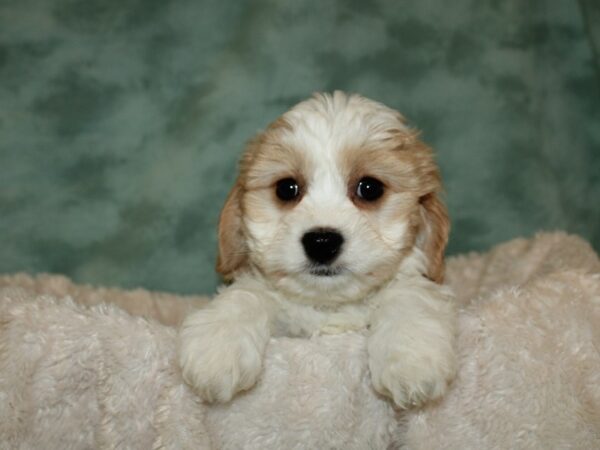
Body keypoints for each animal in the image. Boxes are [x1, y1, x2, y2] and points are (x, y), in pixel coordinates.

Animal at [177, 91, 454, 408]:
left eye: (370, 188)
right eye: (286, 188)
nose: (322, 242)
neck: (329, 306)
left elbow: (409, 293)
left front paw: (411, 359)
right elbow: (247, 294)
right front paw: (217, 349)